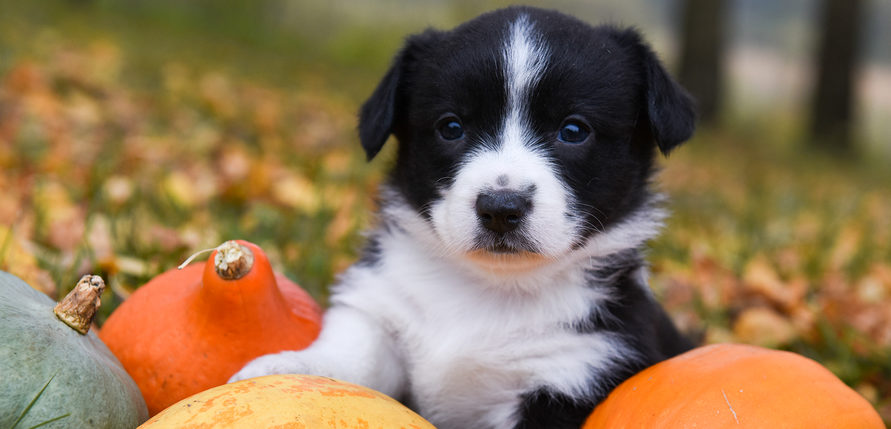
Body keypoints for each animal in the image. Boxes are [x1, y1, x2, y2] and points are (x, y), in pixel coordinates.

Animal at [230, 6, 696, 428]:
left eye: (573, 130)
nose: (501, 208)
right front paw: (283, 370)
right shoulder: (379, 309)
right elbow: (350, 356)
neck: (485, 291)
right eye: (451, 127)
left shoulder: (578, 368)